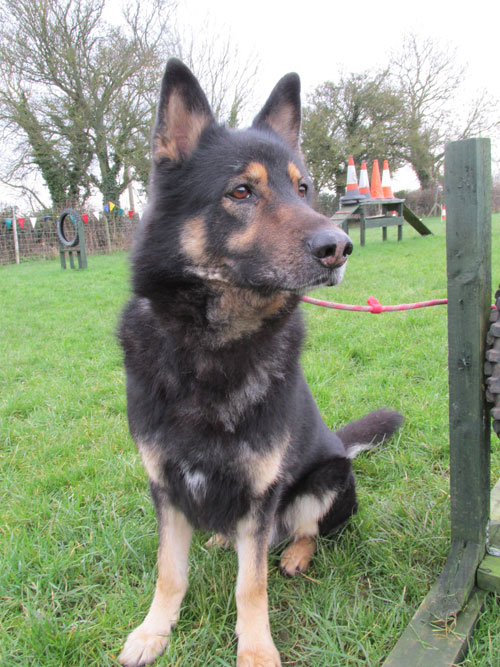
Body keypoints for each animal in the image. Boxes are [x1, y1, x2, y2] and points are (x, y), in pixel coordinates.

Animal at [118, 60, 402, 664]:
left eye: (304, 188)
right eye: (242, 191)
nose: (339, 246)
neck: (212, 347)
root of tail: (341, 446)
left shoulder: (260, 497)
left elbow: (251, 584)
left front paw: (255, 650)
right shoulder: (167, 489)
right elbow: (169, 571)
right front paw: (154, 631)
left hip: (326, 478)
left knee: (306, 531)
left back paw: (294, 554)